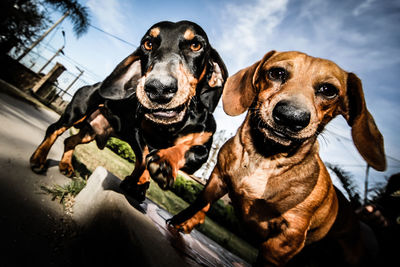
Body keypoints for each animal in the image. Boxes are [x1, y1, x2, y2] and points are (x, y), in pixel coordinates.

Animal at [29, 20, 227, 201]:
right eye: (148, 44)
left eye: (196, 45)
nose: (158, 88)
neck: (172, 127)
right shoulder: (137, 133)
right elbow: (144, 157)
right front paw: (138, 181)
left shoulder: (203, 151)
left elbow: (185, 150)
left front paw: (164, 162)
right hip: (76, 113)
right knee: (54, 129)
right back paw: (38, 160)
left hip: (89, 132)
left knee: (69, 140)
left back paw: (65, 165)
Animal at [170, 51, 388, 266]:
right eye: (276, 73)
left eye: (328, 90)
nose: (290, 116)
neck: (265, 158)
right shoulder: (217, 179)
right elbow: (198, 204)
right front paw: (181, 219)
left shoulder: (287, 239)